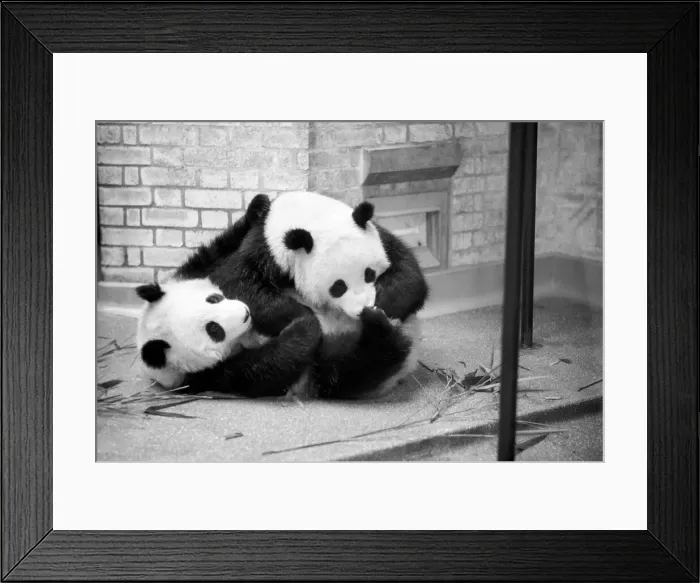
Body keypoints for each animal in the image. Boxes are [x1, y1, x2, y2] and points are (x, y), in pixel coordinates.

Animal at [174, 190, 429, 399]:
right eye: (338, 286)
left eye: (369, 274)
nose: (361, 309)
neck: (306, 214)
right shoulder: (263, 249)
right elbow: (237, 281)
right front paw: (302, 315)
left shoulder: (382, 238)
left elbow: (409, 274)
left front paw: (385, 305)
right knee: (344, 368)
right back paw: (378, 332)